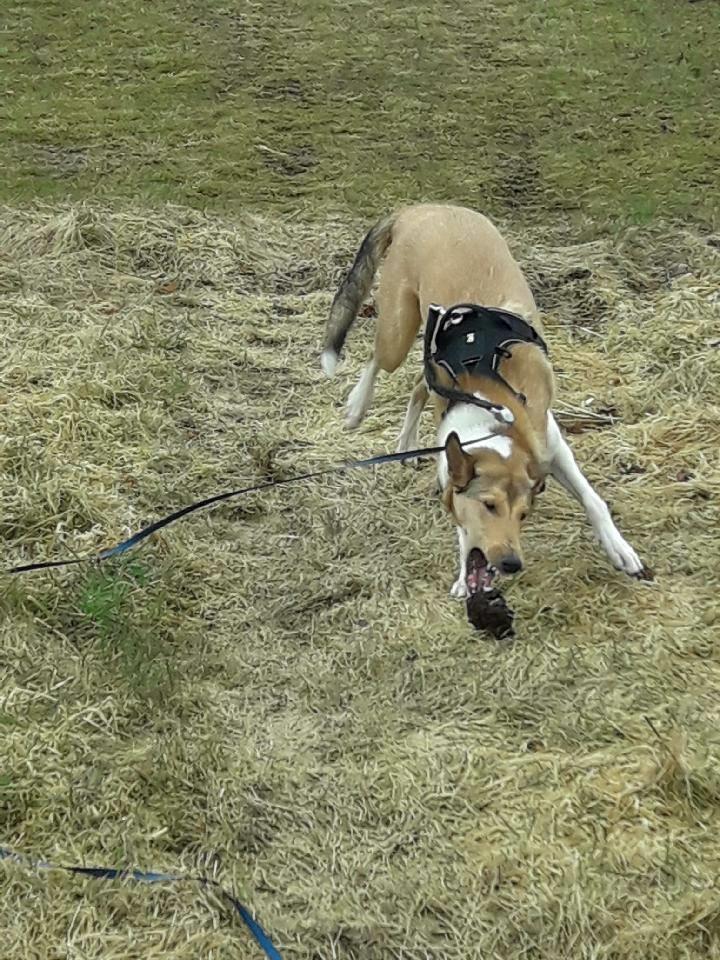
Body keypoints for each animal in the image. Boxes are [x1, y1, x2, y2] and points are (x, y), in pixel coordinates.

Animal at [318, 203, 644, 600]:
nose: (510, 564)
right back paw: (356, 406)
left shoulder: (550, 442)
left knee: (418, 384)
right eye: (488, 505)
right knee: (378, 360)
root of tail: (422, 207)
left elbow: (592, 499)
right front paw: (465, 574)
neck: (489, 404)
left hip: (429, 351)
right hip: (398, 327)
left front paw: (618, 548)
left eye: (524, 514)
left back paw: (406, 443)